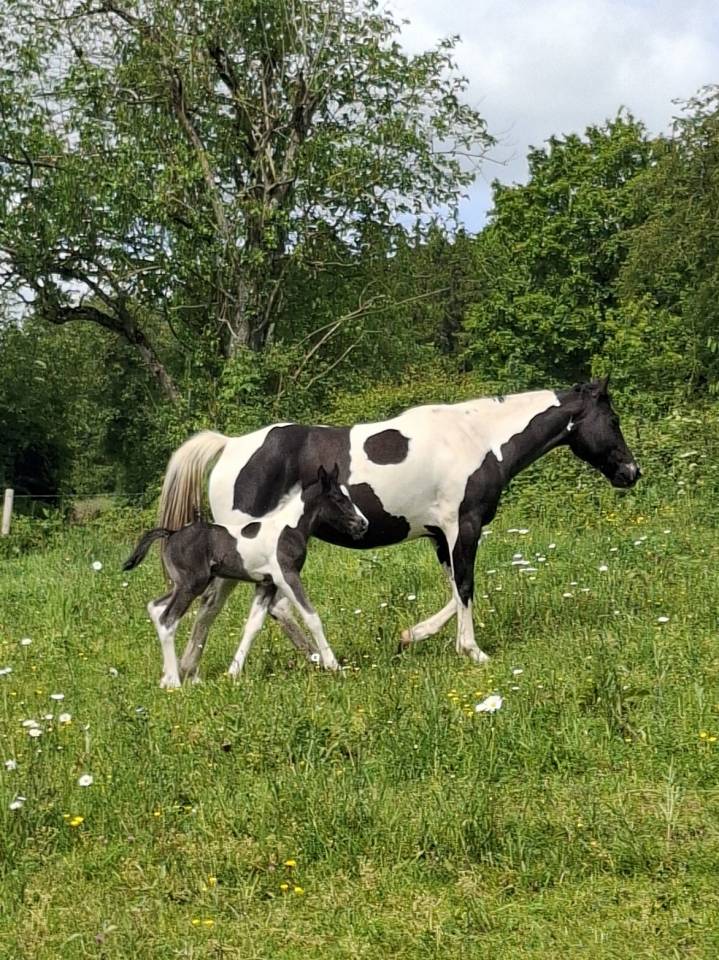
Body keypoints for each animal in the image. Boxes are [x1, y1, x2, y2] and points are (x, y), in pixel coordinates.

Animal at [124, 464, 368, 687]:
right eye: (338, 498)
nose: (363, 524)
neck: (288, 528)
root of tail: (171, 533)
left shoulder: (266, 584)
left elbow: (253, 626)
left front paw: (233, 673)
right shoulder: (286, 575)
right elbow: (312, 617)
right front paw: (336, 667)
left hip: (182, 584)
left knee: (156, 607)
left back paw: (167, 676)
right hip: (191, 584)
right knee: (168, 619)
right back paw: (174, 681)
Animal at [157, 377, 640, 682]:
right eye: (613, 420)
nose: (632, 473)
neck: (478, 439)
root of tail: (229, 446)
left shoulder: (439, 536)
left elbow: (454, 590)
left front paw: (412, 635)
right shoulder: (463, 527)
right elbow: (466, 587)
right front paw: (472, 651)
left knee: (218, 607)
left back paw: (193, 670)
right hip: (244, 550)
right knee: (251, 606)